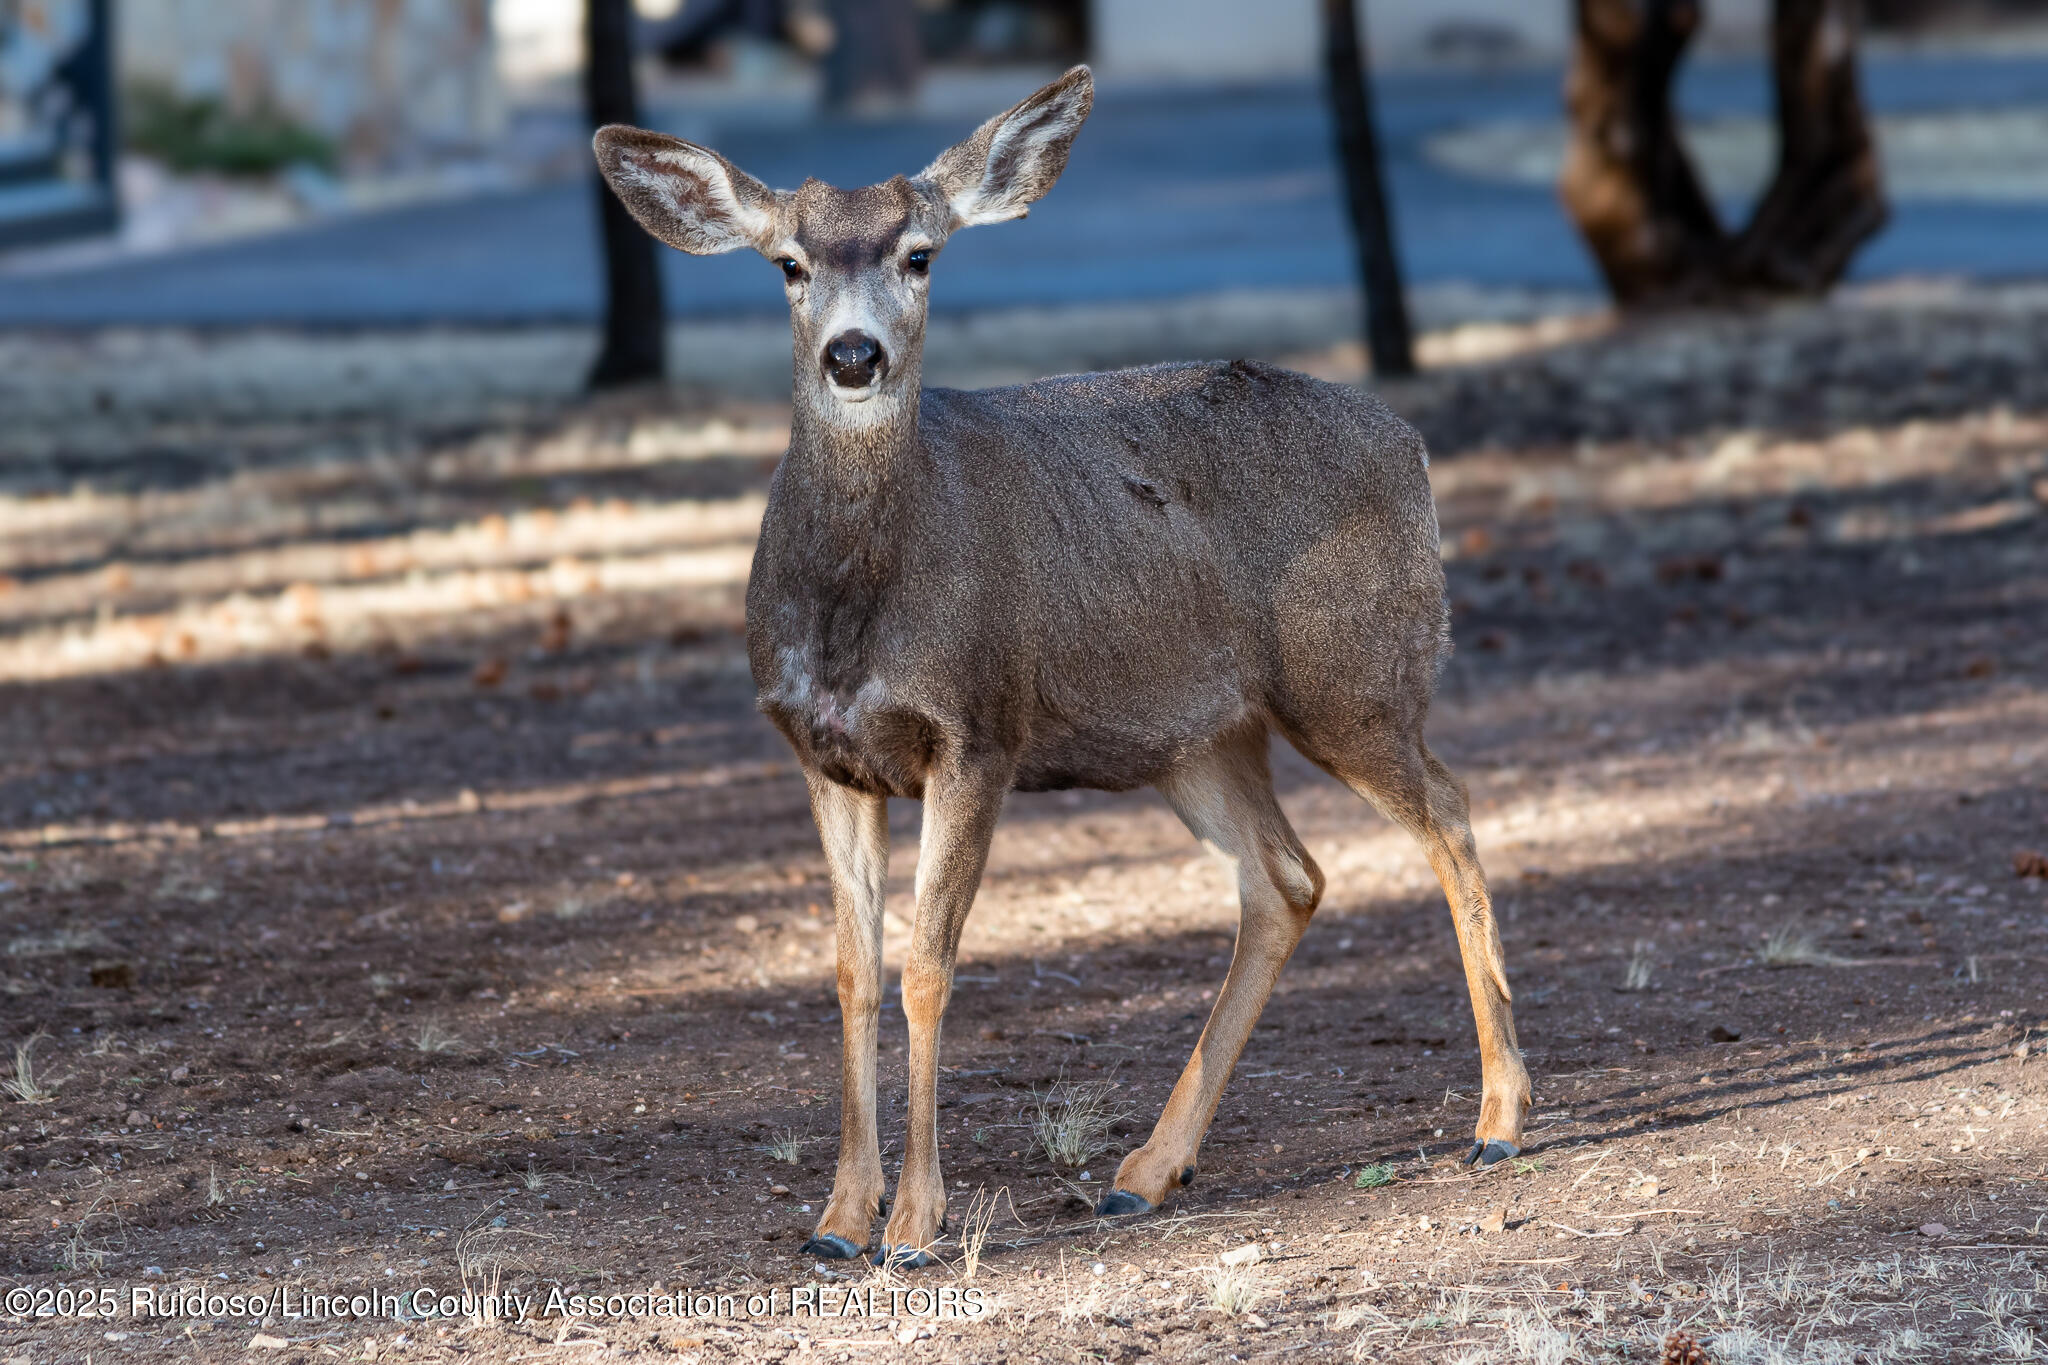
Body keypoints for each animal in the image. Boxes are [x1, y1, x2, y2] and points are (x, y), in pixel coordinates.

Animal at [592, 65, 1530, 1268]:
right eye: (788, 264)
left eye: (920, 254)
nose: (854, 355)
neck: (858, 611)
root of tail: (1410, 444)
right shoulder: (821, 753)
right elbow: (850, 969)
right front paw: (837, 1221)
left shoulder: (979, 728)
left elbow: (926, 964)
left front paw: (915, 1225)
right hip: (1195, 735)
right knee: (1286, 876)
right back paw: (1146, 1171)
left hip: (1353, 670)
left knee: (1449, 815)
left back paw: (1498, 1119)